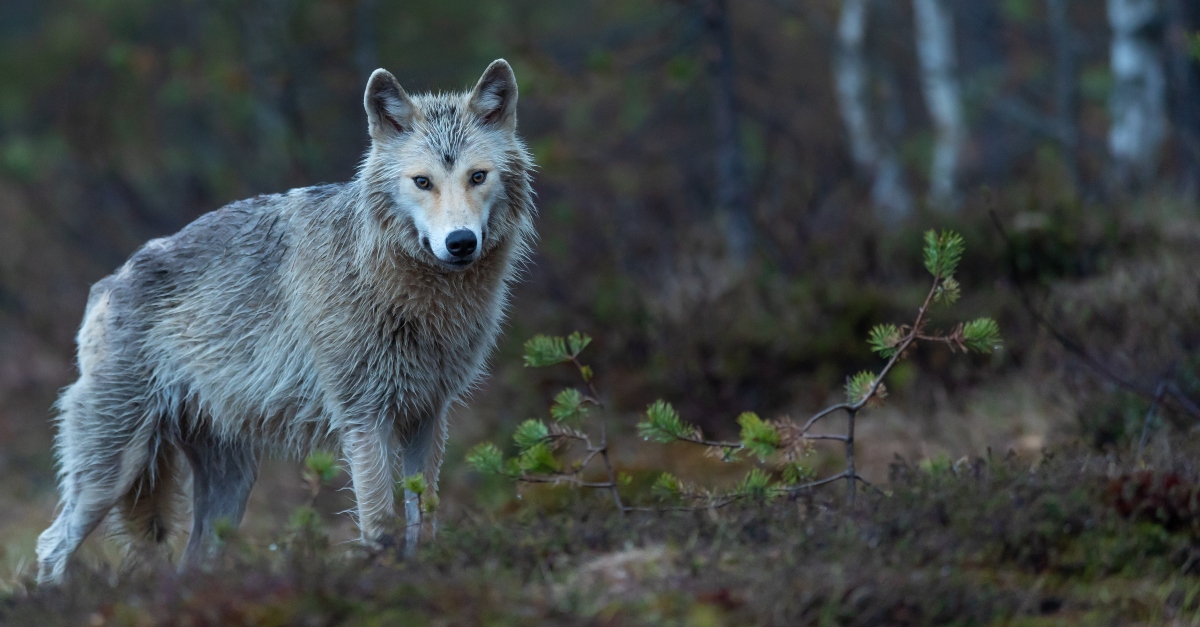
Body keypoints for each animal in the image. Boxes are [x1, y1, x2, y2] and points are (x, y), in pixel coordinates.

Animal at [35, 58, 537, 581]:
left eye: (477, 176)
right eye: (423, 182)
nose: (460, 242)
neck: (410, 294)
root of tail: (107, 283)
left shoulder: (428, 416)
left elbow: (426, 516)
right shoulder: (364, 418)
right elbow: (379, 522)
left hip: (230, 485)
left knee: (191, 560)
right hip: (114, 469)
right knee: (51, 544)